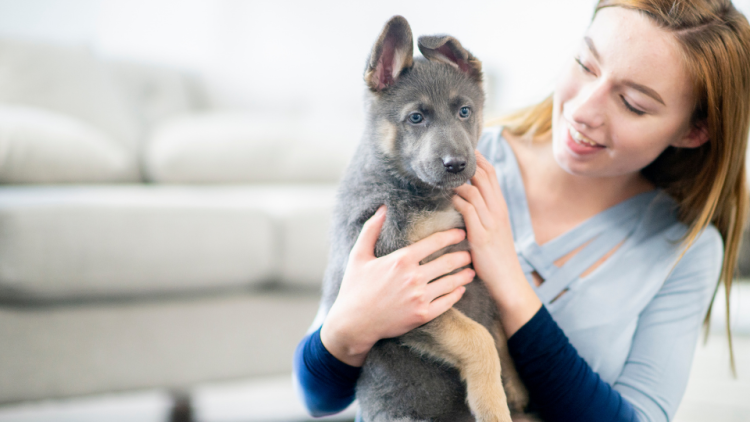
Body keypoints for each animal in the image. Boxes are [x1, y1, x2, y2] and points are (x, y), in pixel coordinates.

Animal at [320, 15, 532, 422]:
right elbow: (480, 338)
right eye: (416, 118)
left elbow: (497, 329)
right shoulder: (412, 296)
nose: (456, 165)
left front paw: (514, 384)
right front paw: (494, 405)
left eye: (465, 111)